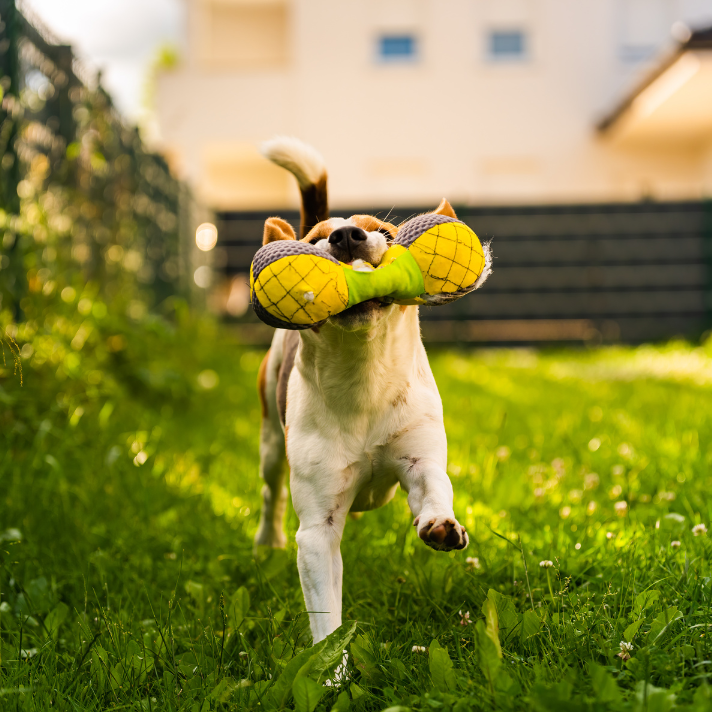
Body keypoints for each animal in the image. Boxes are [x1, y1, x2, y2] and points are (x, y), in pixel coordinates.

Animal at [250, 138, 490, 644]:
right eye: (315, 241)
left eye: (385, 232)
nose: (345, 236)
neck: (365, 379)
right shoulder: (317, 531)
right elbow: (325, 614)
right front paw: (329, 663)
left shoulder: (420, 457)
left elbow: (434, 487)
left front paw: (440, 523)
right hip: (270, 442)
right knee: (269, 492)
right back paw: (266, 541)